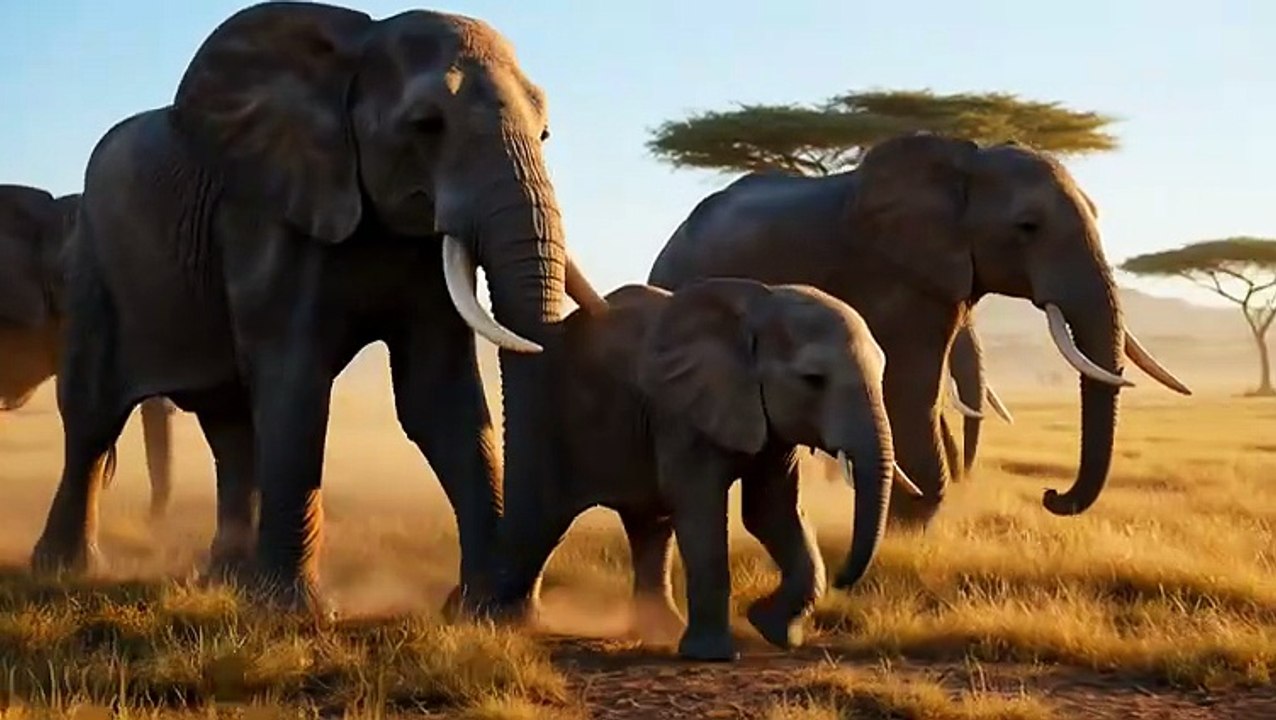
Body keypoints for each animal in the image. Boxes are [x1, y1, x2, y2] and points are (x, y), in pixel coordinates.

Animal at [29, 1, 604, 612]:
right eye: (427, 125)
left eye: (544, 133)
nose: (511, 601)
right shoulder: (265, 220)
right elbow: (296, 384)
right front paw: (297, 612)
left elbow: (438, 398)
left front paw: (479, 613)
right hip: (94, 262)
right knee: (93, 415)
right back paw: (66, 572)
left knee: (230, 424)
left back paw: (226, 581)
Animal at [511, 278, 923, 661]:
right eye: (813, 380)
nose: (843, 580)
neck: (758, 310)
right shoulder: (682, 412)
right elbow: (701, 511)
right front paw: (713, 655)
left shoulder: (767, 425)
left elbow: (772, 513)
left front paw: (774, 631)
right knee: (546, 523)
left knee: (650, 526)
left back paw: (659, 631)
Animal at [648, 133, 1193, 537]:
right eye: (1027, 226)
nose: (1052, 496)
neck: (962, 169)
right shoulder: (893, 275)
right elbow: (910, 387)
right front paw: (912, 524)